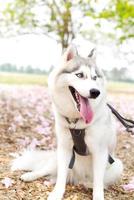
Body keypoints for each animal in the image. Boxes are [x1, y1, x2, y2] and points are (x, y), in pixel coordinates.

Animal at [11, 45, 122, 200]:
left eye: (95, 78)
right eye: (79, 75)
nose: (95, 92)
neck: (76, 122)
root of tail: (76, 178)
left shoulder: (100, 152)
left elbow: (98, 182)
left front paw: (98, 195)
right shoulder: (64, 149)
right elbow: (61, 177)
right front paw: (57, 193)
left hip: (117, 166)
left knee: (97, 181)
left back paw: (87, 184)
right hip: (57, 159)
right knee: (46, 170)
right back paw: (30, 175)